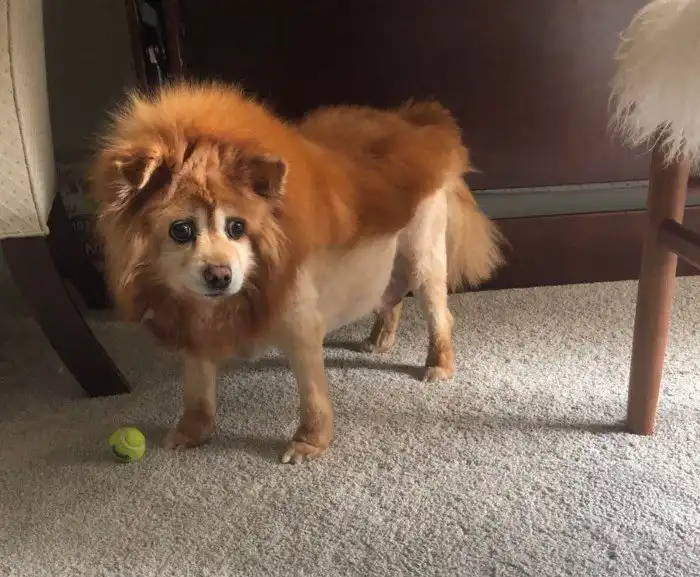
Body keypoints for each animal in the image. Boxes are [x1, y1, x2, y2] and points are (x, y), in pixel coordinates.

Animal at [90, 82, 504, 464]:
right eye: (181, 230)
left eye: (237, 227)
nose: (220, 275)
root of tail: (422, 125)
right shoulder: (195, 329)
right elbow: (197, 388)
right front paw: (193, 430)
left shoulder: (301, 325)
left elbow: (312, 394)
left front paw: (310, 442)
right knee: (390, 295)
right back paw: (380, 338)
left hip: (422, 257)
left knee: (438, 314)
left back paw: (439, 363)